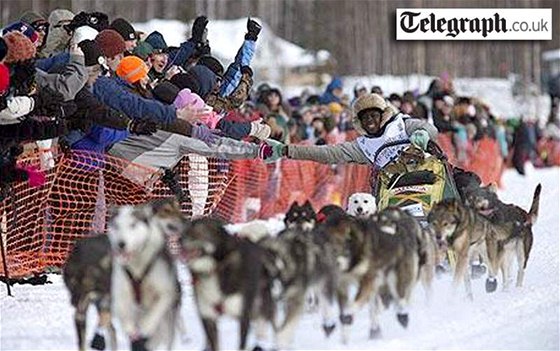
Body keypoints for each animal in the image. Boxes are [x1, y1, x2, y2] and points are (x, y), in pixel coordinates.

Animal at [110, 201, 186, 351]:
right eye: (116, 226)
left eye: (133, 225)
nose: (121, 244)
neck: (138, 264)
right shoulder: (121, 291)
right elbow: (121, 309)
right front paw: (129, 328)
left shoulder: (166, 291)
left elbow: (157, 309)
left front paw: (146, 326)